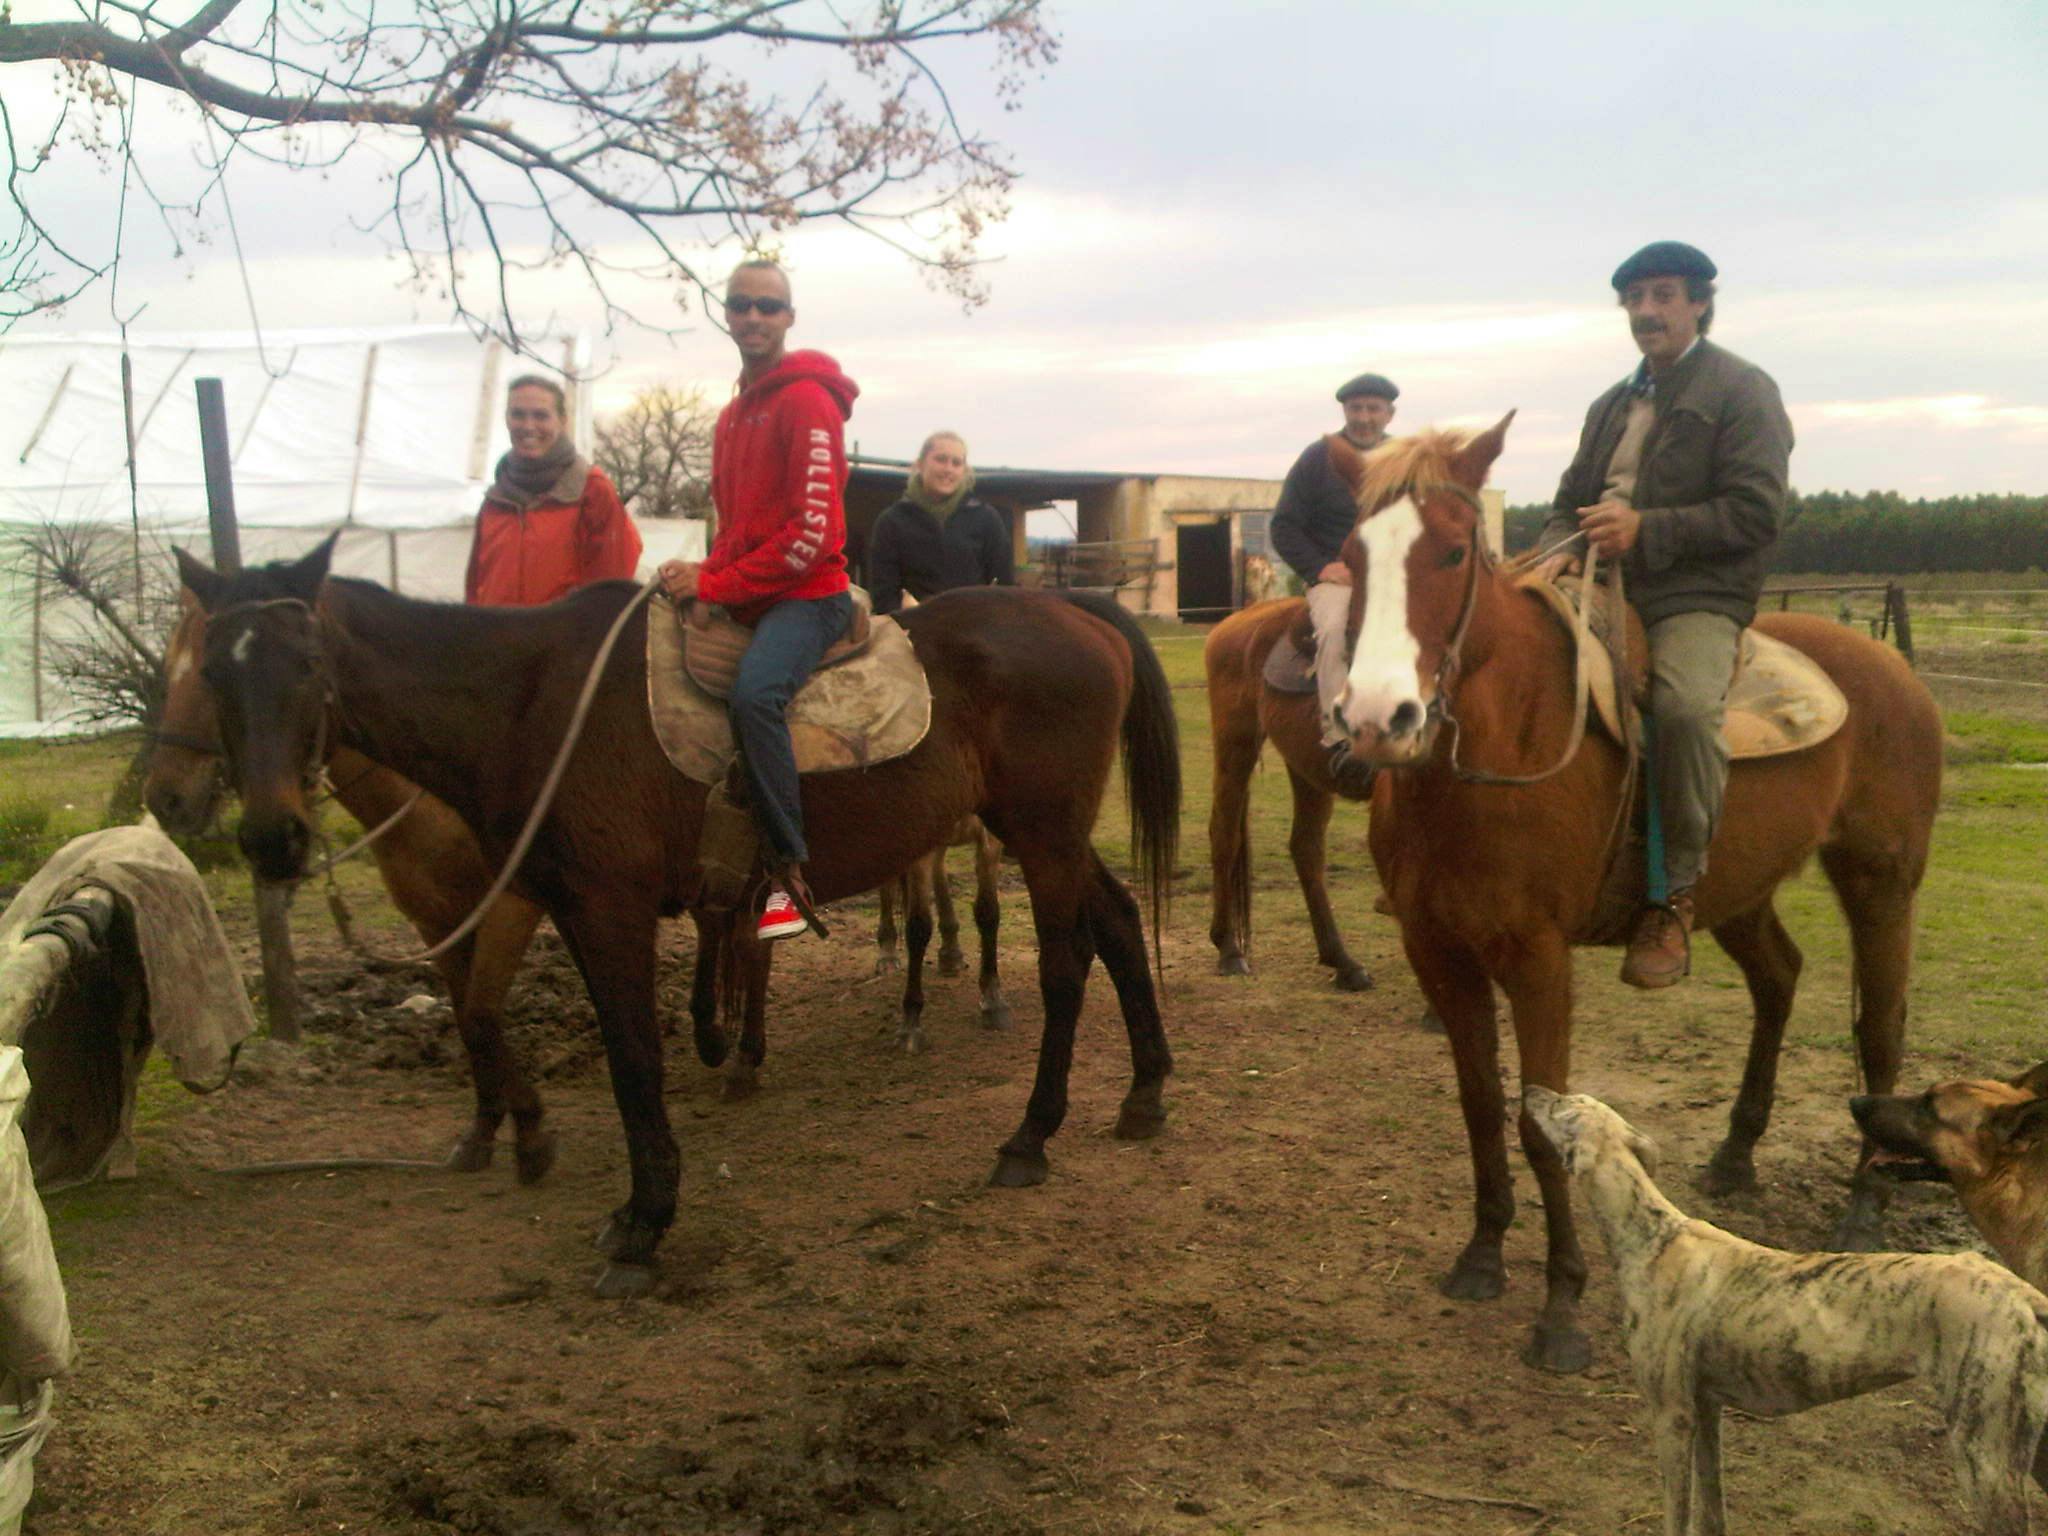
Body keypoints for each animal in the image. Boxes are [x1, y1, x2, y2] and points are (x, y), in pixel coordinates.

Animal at [874, 815, 1011, 1049]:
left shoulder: (989, 839)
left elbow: (988, 914)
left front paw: (993, 1002)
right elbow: (918, 929)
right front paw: (910, 1025)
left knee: (939, 865)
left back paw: (951, 952)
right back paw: (888, 956)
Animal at [1333, 418, 1942, 1374]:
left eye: (1454, 550)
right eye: (1354, 553)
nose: (1375, 720)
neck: (1499, 750)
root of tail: (1892, 667)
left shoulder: (1538, 961)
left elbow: (1542, 1128)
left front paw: (1561, 1311)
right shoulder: (1437, 952)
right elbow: (1478, 1107)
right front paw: (1482, 1255)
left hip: (1881, 882)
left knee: (1879, 1028)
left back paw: (1861, 1211)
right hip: (1735, 893)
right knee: (1779, 978)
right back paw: (1735, 1153)